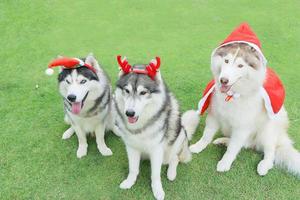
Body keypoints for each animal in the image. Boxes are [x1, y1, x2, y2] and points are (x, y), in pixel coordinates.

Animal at [114, 55, 199, 199]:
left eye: (143, 92)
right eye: (126, 90)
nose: (129, 113)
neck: (141, 126)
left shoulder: (156, 150)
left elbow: (155, 174)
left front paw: (157, 190)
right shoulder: (131, 147)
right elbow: (133, 169)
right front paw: (130, 181)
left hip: (176, 141)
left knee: (175, 158)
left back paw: (171, 173)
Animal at [190, 25, 300, 176]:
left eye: (240, 66)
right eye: (226, 61)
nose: (223, 80)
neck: (233, 95)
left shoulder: (242, 127)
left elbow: (232, 149)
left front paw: (225, 163)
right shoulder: (214, 116)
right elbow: (207, 135)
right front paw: (198, 146)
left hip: (267, 130)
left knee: (270, 151)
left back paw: (264, 165)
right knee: (245, 144)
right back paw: (224, 140)